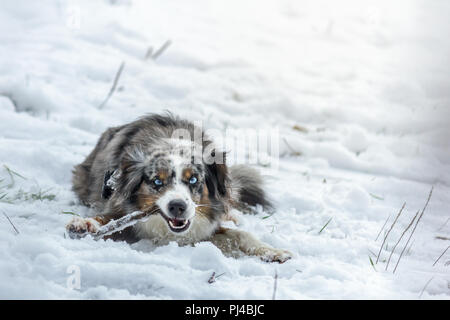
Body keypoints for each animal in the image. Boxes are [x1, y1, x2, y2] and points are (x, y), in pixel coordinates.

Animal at [66, 114, 292, 262]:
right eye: (157, 181)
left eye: (193, 180)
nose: (177, 207)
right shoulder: (122, 212)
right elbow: (107, 219)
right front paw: (84, 223)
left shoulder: (205, 226)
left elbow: (242, 234)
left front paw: (273, 251)